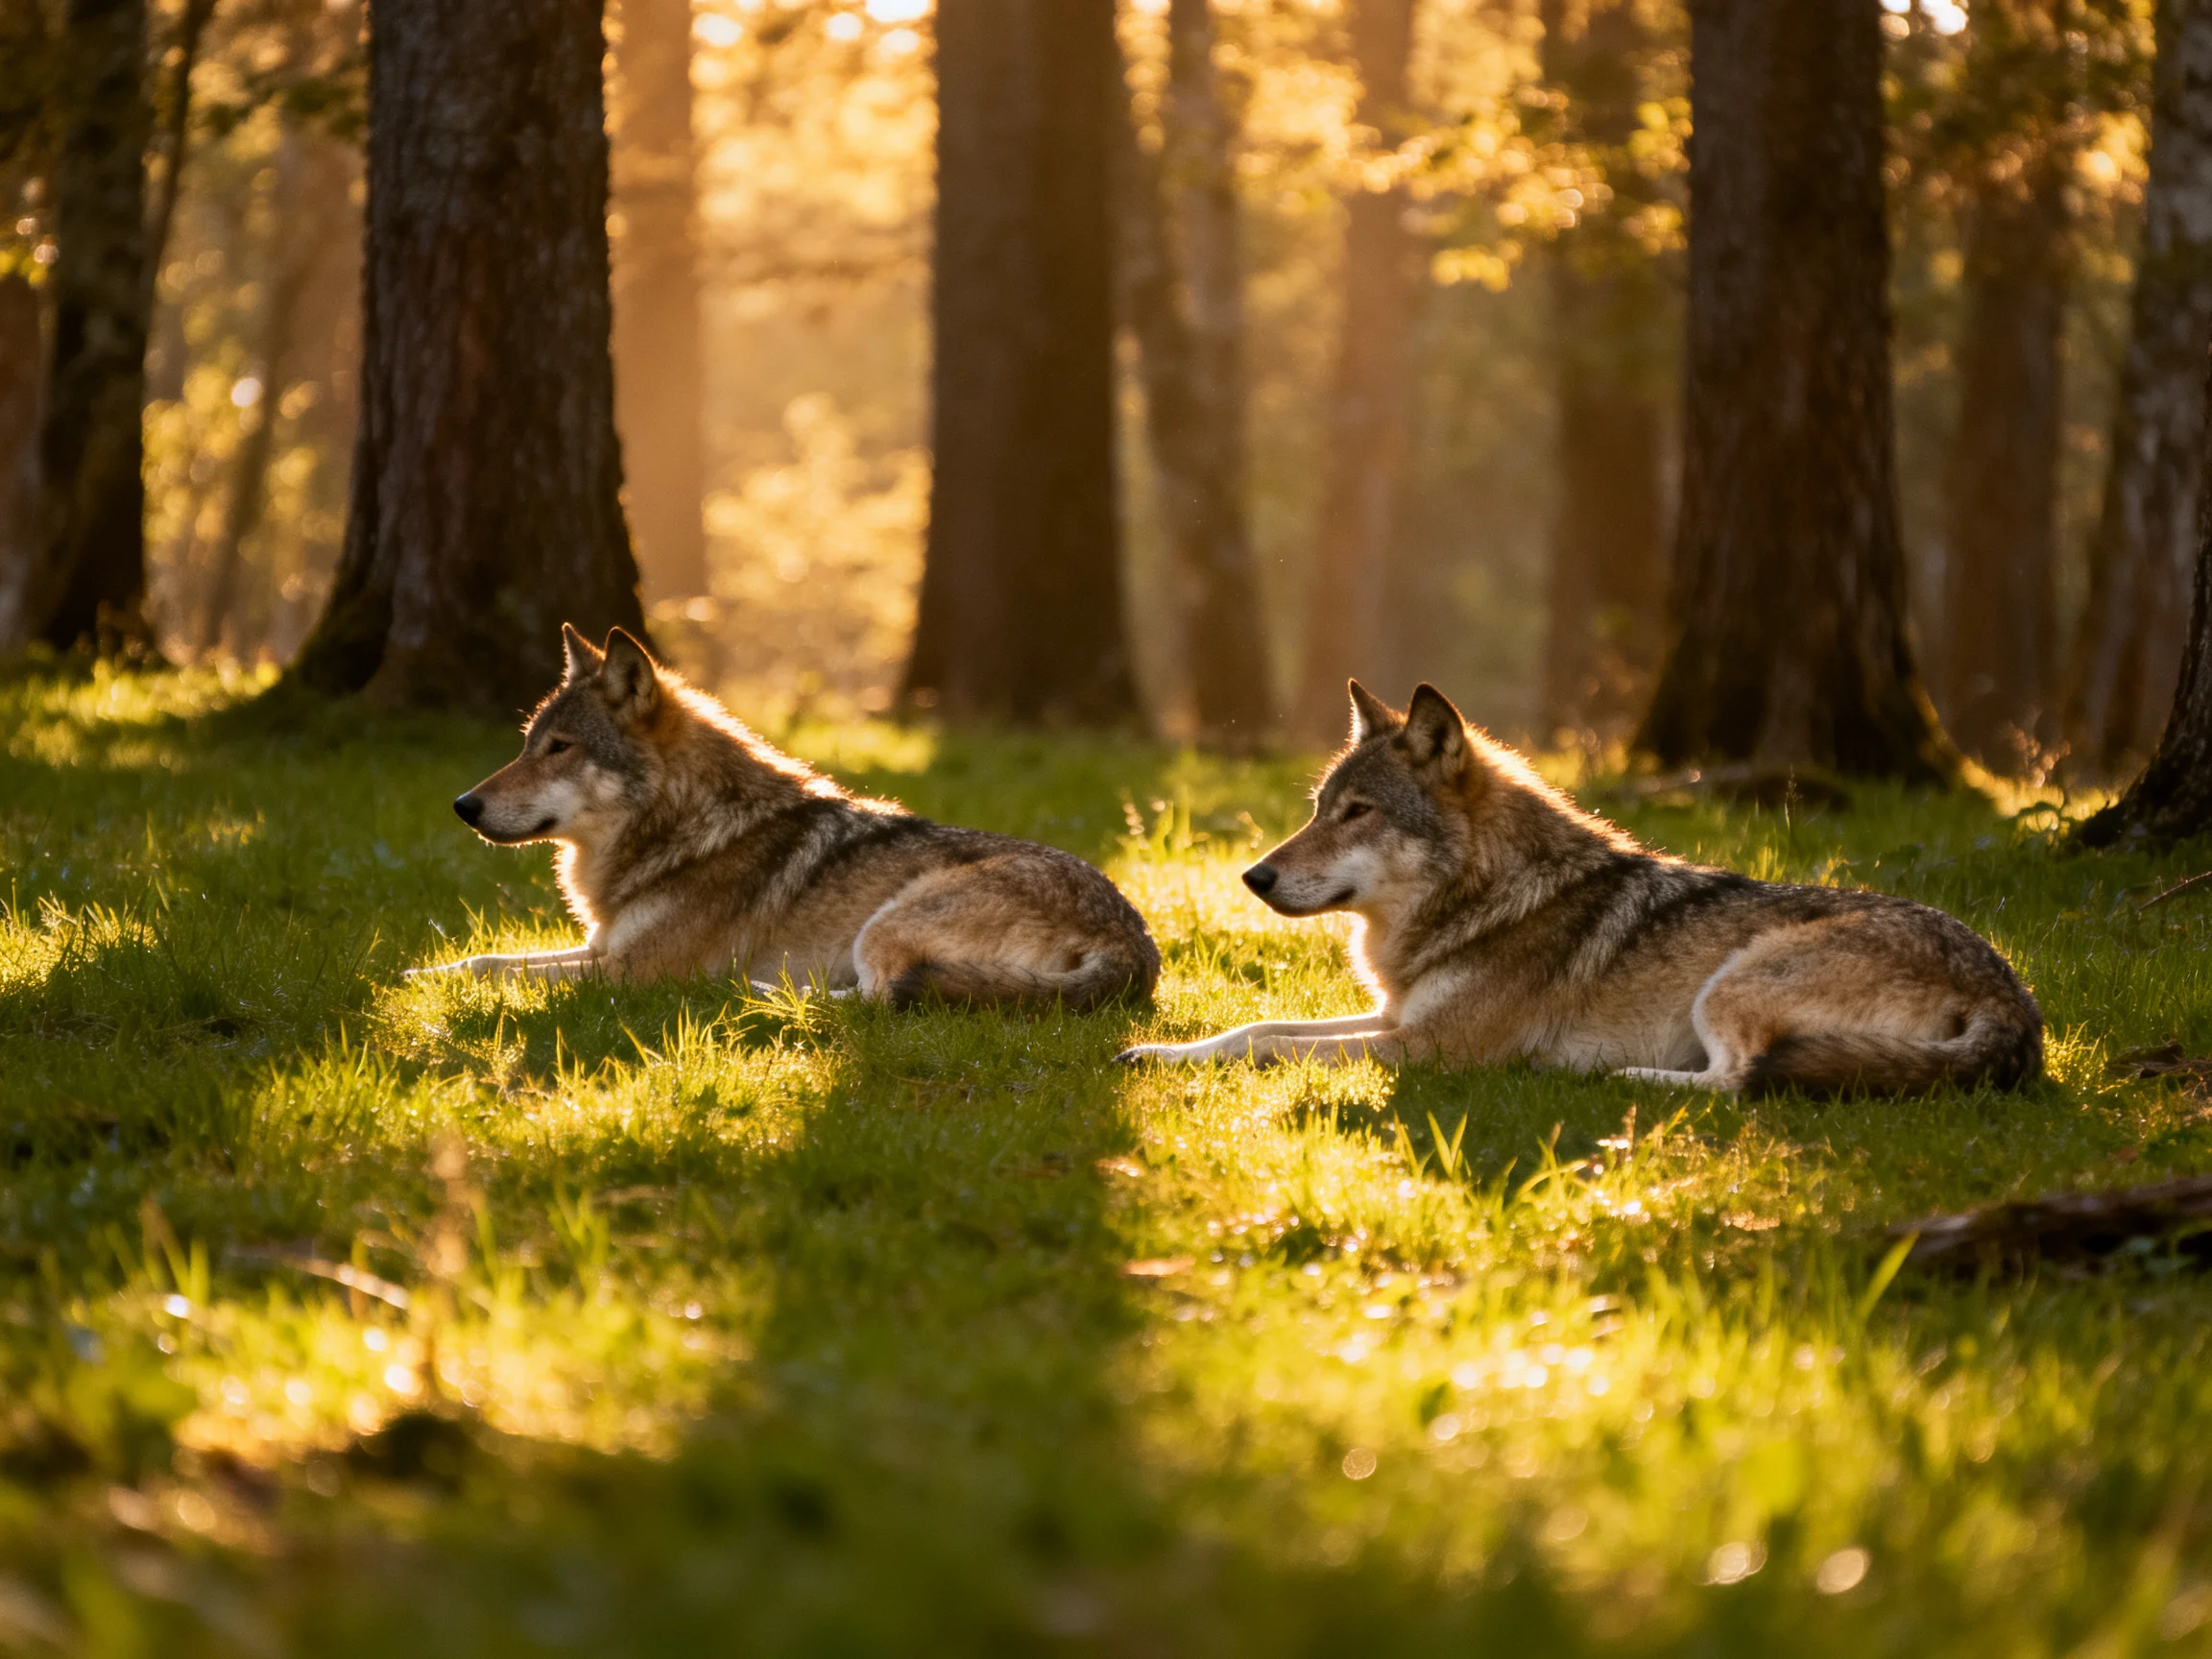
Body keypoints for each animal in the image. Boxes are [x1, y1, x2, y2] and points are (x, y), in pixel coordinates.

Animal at [410, 625, 1159, 1009]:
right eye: (527, 744)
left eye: (559, 748)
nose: (462, 806)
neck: (691, 831)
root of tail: (1136, 942)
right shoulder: (602, 948)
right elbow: (485, 959)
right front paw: (418, 977)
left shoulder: (631, 972)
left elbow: (512, 979)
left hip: (884, 926)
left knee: (879, 1001)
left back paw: (766, 994)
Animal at [1119, 682, 2041, 1095]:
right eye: (1319, 809)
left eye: (1358, 812)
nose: (1253, 876)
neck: (1489, 899)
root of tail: (2015, 1001)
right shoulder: (1394, 1018)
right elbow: (1255, 1026)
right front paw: (1158, 1053)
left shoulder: (1429, 1048)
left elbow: (1277, 1045)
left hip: (1732, 982)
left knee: (1739, 1080)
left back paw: (1614, 1077)